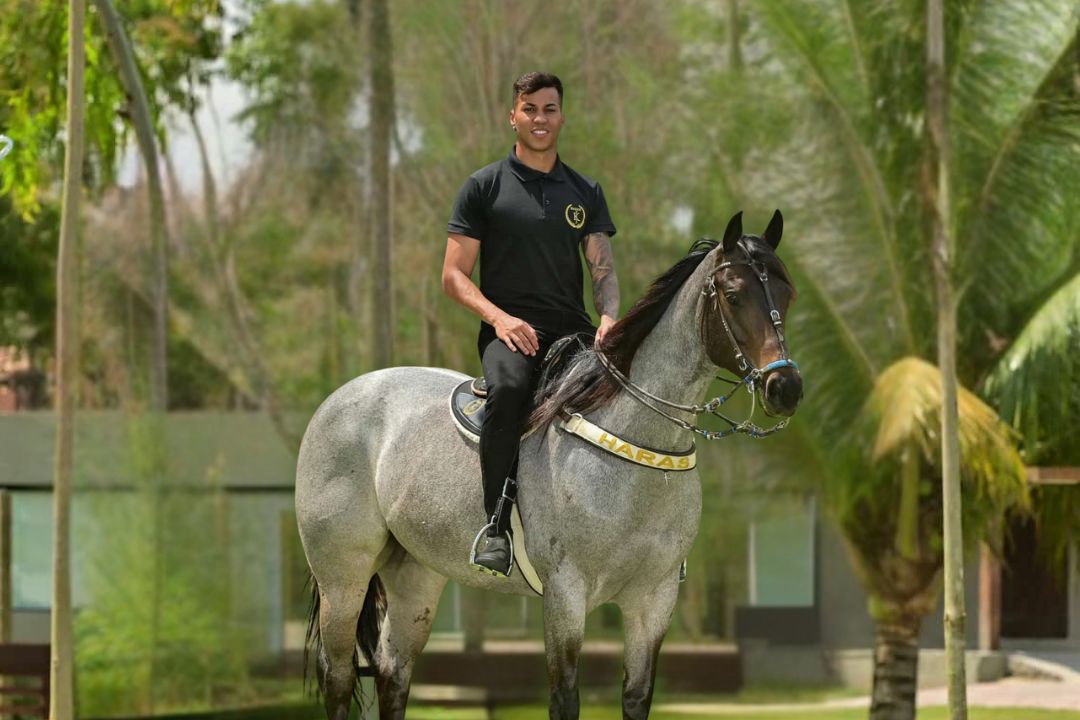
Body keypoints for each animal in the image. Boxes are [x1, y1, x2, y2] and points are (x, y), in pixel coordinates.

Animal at [295, 210, 803, 719]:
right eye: (734, 295)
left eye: (787, 294)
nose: (786, 388)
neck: (634, 449)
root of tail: (340, 399)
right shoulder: (565, 593)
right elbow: (564, 698)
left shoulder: (653, 598)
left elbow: (636, 696)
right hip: (343, 577)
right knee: (339, 678)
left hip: (415, 577)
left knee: (392, 674)